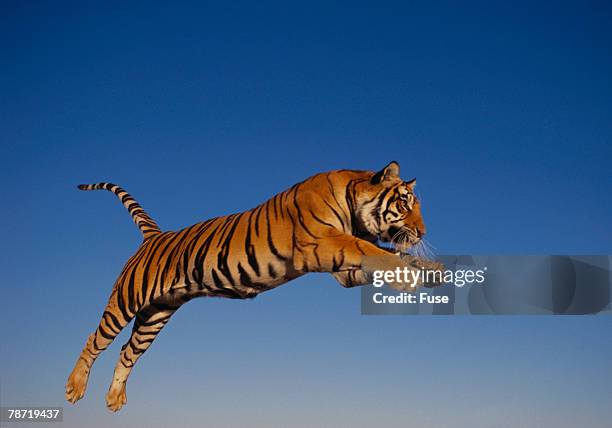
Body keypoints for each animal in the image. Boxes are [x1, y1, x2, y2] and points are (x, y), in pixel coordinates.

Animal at [65, 161, 440, 412]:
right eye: (404, 203)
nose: (422, 232)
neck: (353, 207)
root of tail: (154, 235)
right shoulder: (325, 243)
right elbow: (373, 250)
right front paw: (406, 275)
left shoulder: (344, 272)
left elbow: (390, 253)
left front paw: (433, 270)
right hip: (126, 300)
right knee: (94, 339)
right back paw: (74, 388)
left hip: (156, 315)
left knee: (127, 352)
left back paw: (114, 399)